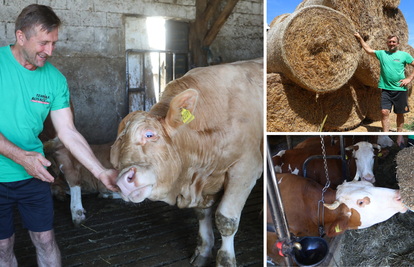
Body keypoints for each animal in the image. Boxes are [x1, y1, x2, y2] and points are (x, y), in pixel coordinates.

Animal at [111, 58, 264, 267]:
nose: (122, 182)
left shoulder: (246, 169)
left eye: (149, 134)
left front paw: (225, 260)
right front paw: (204, 250)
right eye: (118, 145)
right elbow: (202, 213)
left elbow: (226, 219)